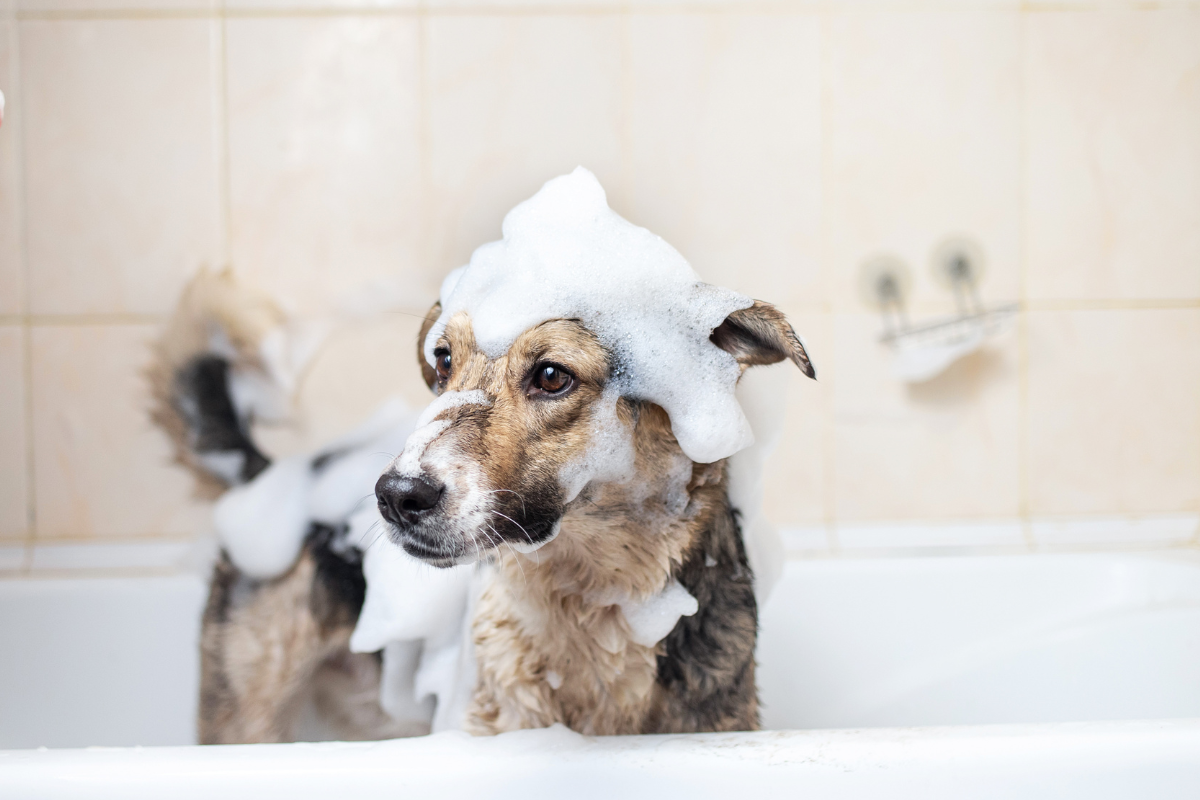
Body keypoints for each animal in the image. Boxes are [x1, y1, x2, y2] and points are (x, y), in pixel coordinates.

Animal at [152, 169, 816, 743]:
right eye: (443, 361)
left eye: (551, 375)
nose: (397, 496)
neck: (590, 602)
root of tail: (272, 475)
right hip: (246, 715)